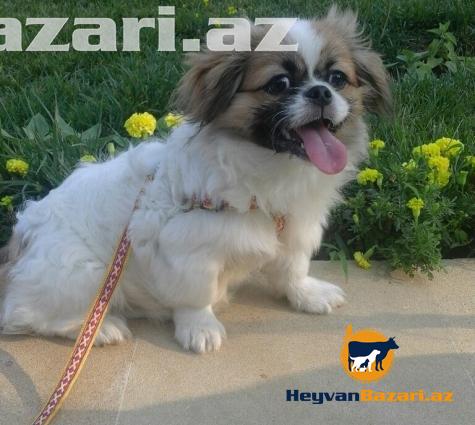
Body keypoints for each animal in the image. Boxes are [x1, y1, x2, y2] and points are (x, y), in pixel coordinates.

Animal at [0, 8, 390, 353]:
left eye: (337, 78)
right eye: (279, 84)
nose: (320, 92)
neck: (270, 171)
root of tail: (18, 246)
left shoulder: (297, 228)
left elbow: (293, 269)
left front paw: (307, 295)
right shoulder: (189, 251)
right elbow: (196, 297)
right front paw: (200, 328)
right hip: (85, 272)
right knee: (25, 314)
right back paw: (103, 328)